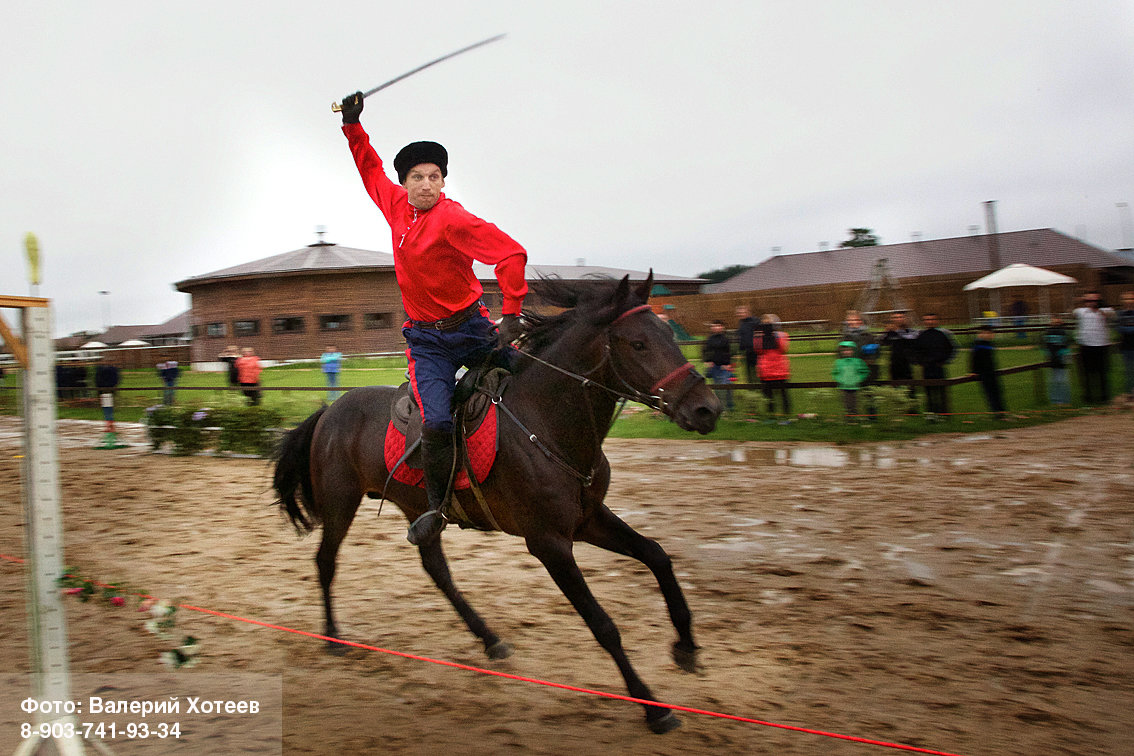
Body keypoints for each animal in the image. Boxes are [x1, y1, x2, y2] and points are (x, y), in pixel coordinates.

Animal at [269, 273, 721, 734]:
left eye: (669, 332)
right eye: (638, 344)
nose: (707, 409)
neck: (546, 423)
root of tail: (328, 411)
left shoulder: (588, 520)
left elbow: (657, 554)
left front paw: (686, 646)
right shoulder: (549, 543)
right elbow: (603, 624)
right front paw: (652, 705)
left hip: (419, 510)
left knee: (436, 570)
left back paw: (489, 639)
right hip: (340, 503)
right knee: (326, 562)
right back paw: (333, 637)